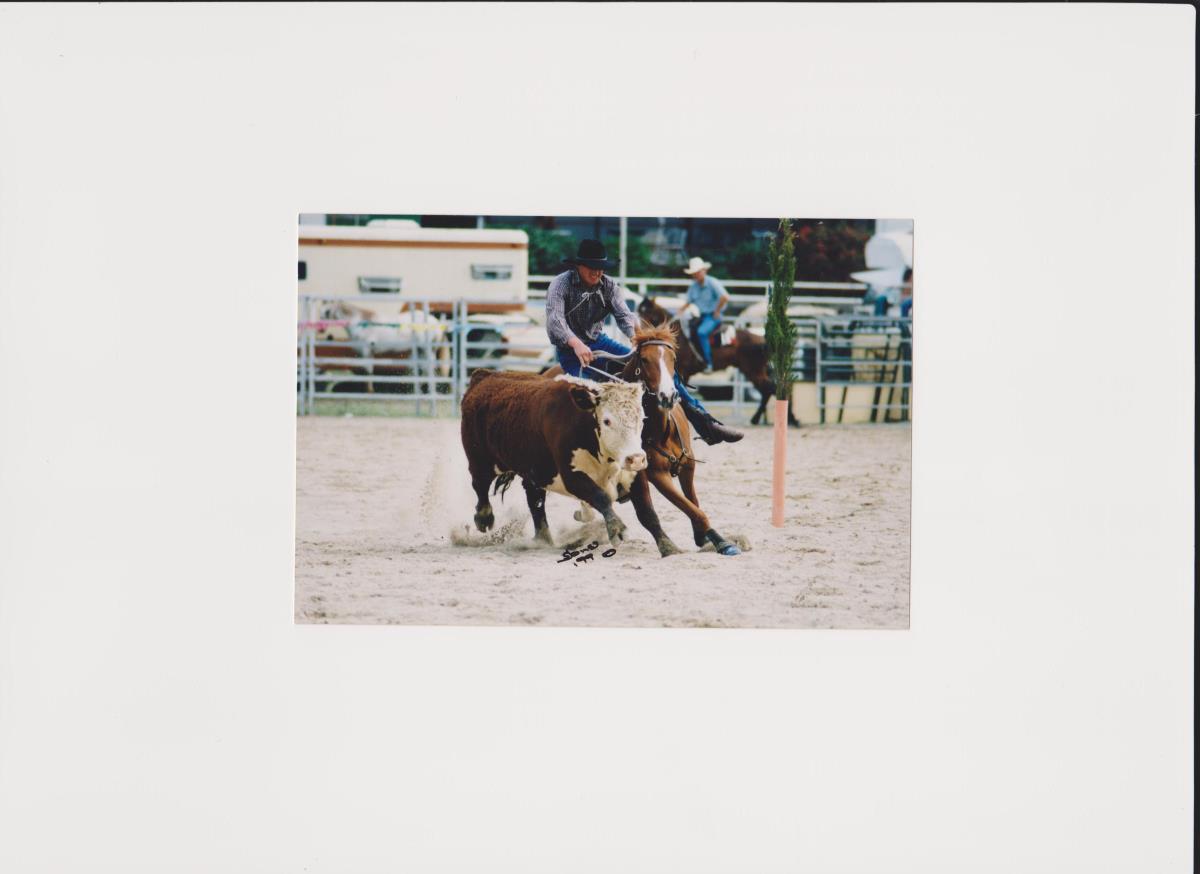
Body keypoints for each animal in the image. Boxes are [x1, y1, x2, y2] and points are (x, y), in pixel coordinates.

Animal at [460, 369, 646, 547]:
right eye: (607, 421)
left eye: (642, 419)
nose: (636, 458)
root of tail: (484, 376)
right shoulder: (572, 477)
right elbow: (601, 497)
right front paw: (617, 529)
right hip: (480, 459)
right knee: (480, 484)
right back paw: (484, 518)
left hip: (534, 469)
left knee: (534, 498)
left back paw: (544, 538)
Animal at [635, 297, 800, 428]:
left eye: (646, 313)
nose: (638, 332)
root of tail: (761, 340)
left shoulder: (681, 371)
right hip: (754, 371)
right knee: (768, 391)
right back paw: (758, 419)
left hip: (754, 371)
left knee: (771, 389)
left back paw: (792, 419)